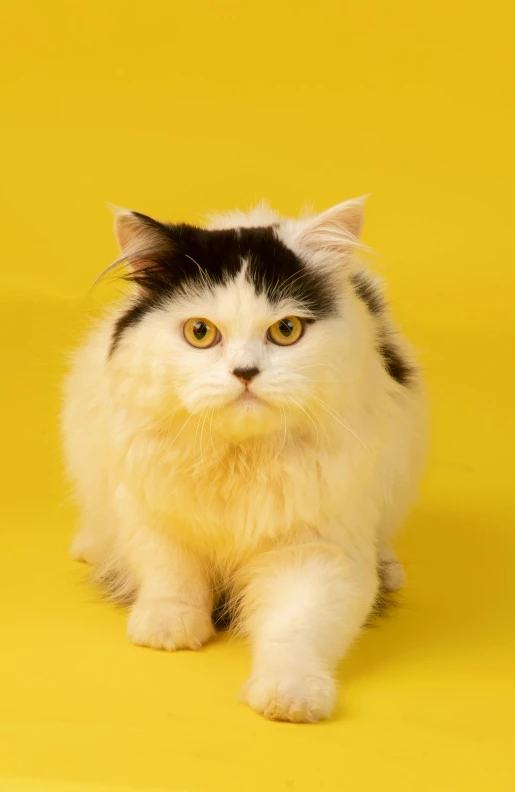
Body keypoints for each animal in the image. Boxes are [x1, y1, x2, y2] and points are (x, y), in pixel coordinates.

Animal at [62, 198, 428, 724]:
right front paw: (168, 626)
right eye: (200, 333)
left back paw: (390, 570)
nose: (246, 372)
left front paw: (291, 696)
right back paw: (91, 547)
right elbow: (169, 571)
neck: (239, 457)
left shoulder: (315, 552)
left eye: (286, 331)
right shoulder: (150, 512)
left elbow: (294, 631)